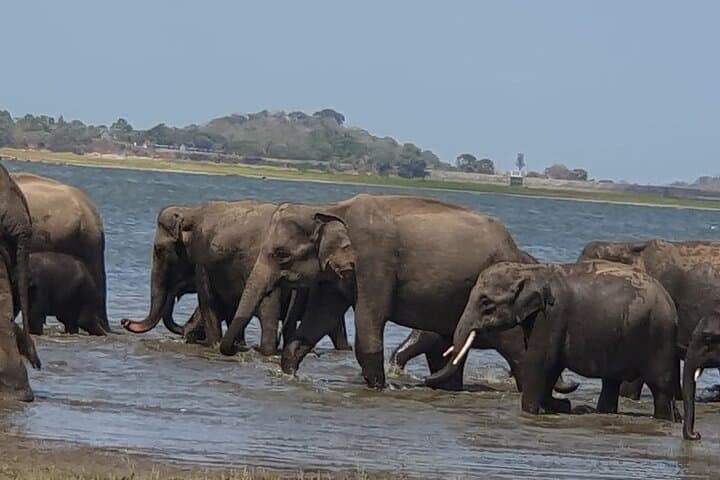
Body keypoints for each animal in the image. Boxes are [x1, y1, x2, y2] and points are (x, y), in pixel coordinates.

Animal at [121, 201, 349, 355]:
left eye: (159, 250)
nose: (124, 321)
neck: (191, 212)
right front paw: (235, 344)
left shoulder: (202, 258)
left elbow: (208, 301)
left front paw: (214, 344)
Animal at [220, 194, 547, 390]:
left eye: (281, 254)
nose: (234, 349)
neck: (329, 208)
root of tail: (513, 245)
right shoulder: (335, 275)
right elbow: (317, 322)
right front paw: (287, 376)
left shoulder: (373, 263)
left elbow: (367, 330)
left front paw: (379, 388)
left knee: (514, 346)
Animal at [429, 261, 680, 421]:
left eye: (486, 303)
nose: (425, 379)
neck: (531, 271)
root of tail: (670, 302)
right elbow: (550, 367)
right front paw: (557, 406)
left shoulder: (551, 316)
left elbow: (540, 363)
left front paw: (533, 411)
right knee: (611, 383)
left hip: (658, 337)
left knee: (660, 388)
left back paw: (664, 418)